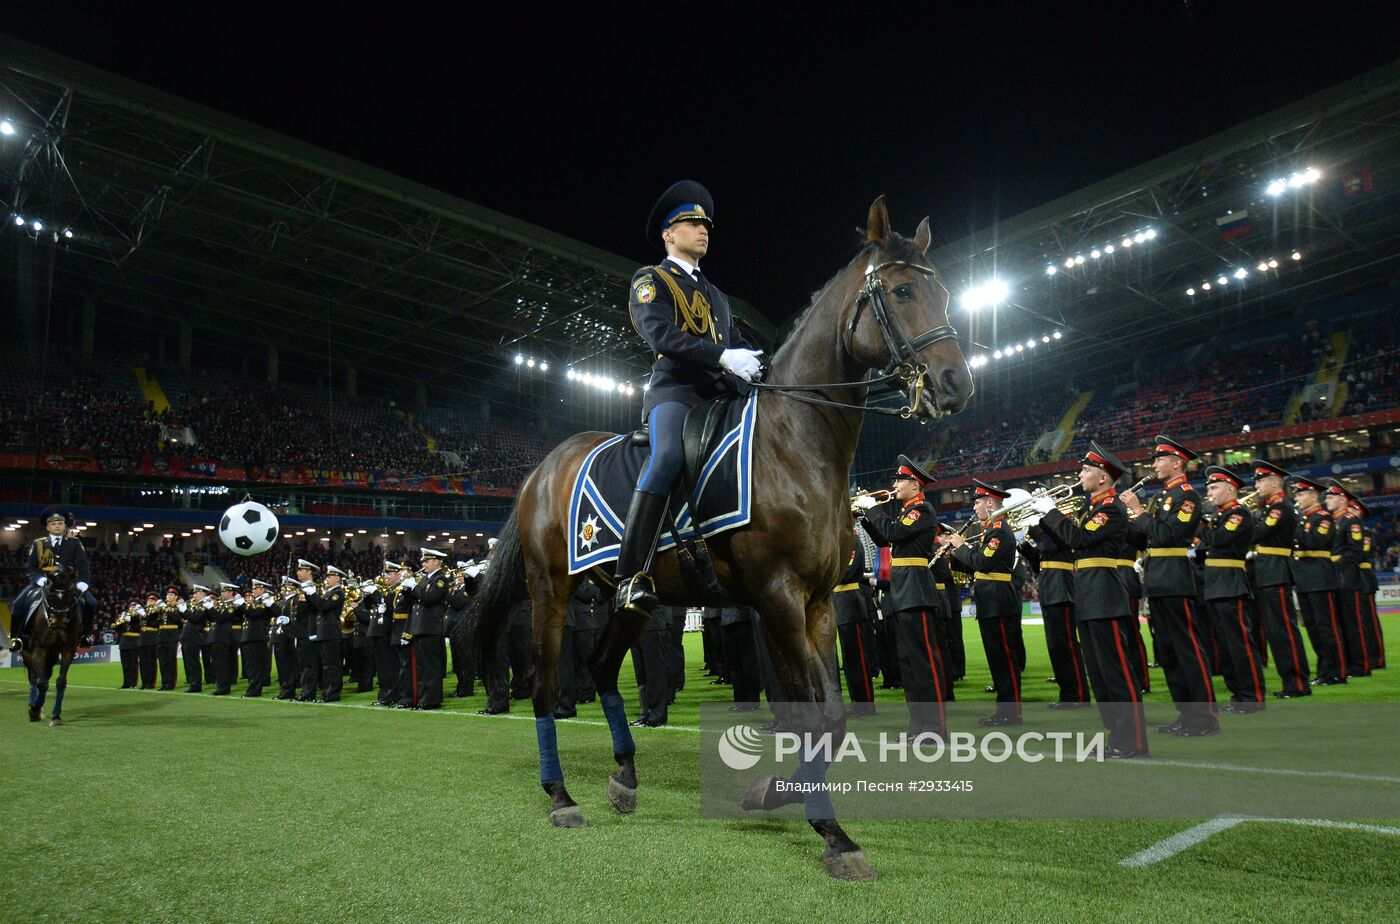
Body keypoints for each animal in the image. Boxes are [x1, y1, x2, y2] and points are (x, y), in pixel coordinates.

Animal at [21, 562, 84, 728]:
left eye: (70, 595)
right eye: (50, 595)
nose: (59, 624)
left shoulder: (68, 650)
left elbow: (61, 682)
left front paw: (56, 716)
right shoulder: (38, 649)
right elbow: (41, 683)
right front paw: (34, 709)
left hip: (53, 655)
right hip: (26, 651)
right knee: (34, 678)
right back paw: (34, 707)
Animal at [470, 200, 974, 879]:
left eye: (942, 291)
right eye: (901, 291)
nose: (955, 384)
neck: (796, 443)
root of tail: (541, 469)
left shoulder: (817, 602)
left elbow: (829, 714)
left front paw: (777, 794)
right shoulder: (777, 596)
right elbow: (815, 712)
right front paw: (832, 833)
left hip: (633, 599)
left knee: (600, 666)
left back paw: (625, 776)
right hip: (550, 591)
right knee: (549, 686)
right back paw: (560, 796)